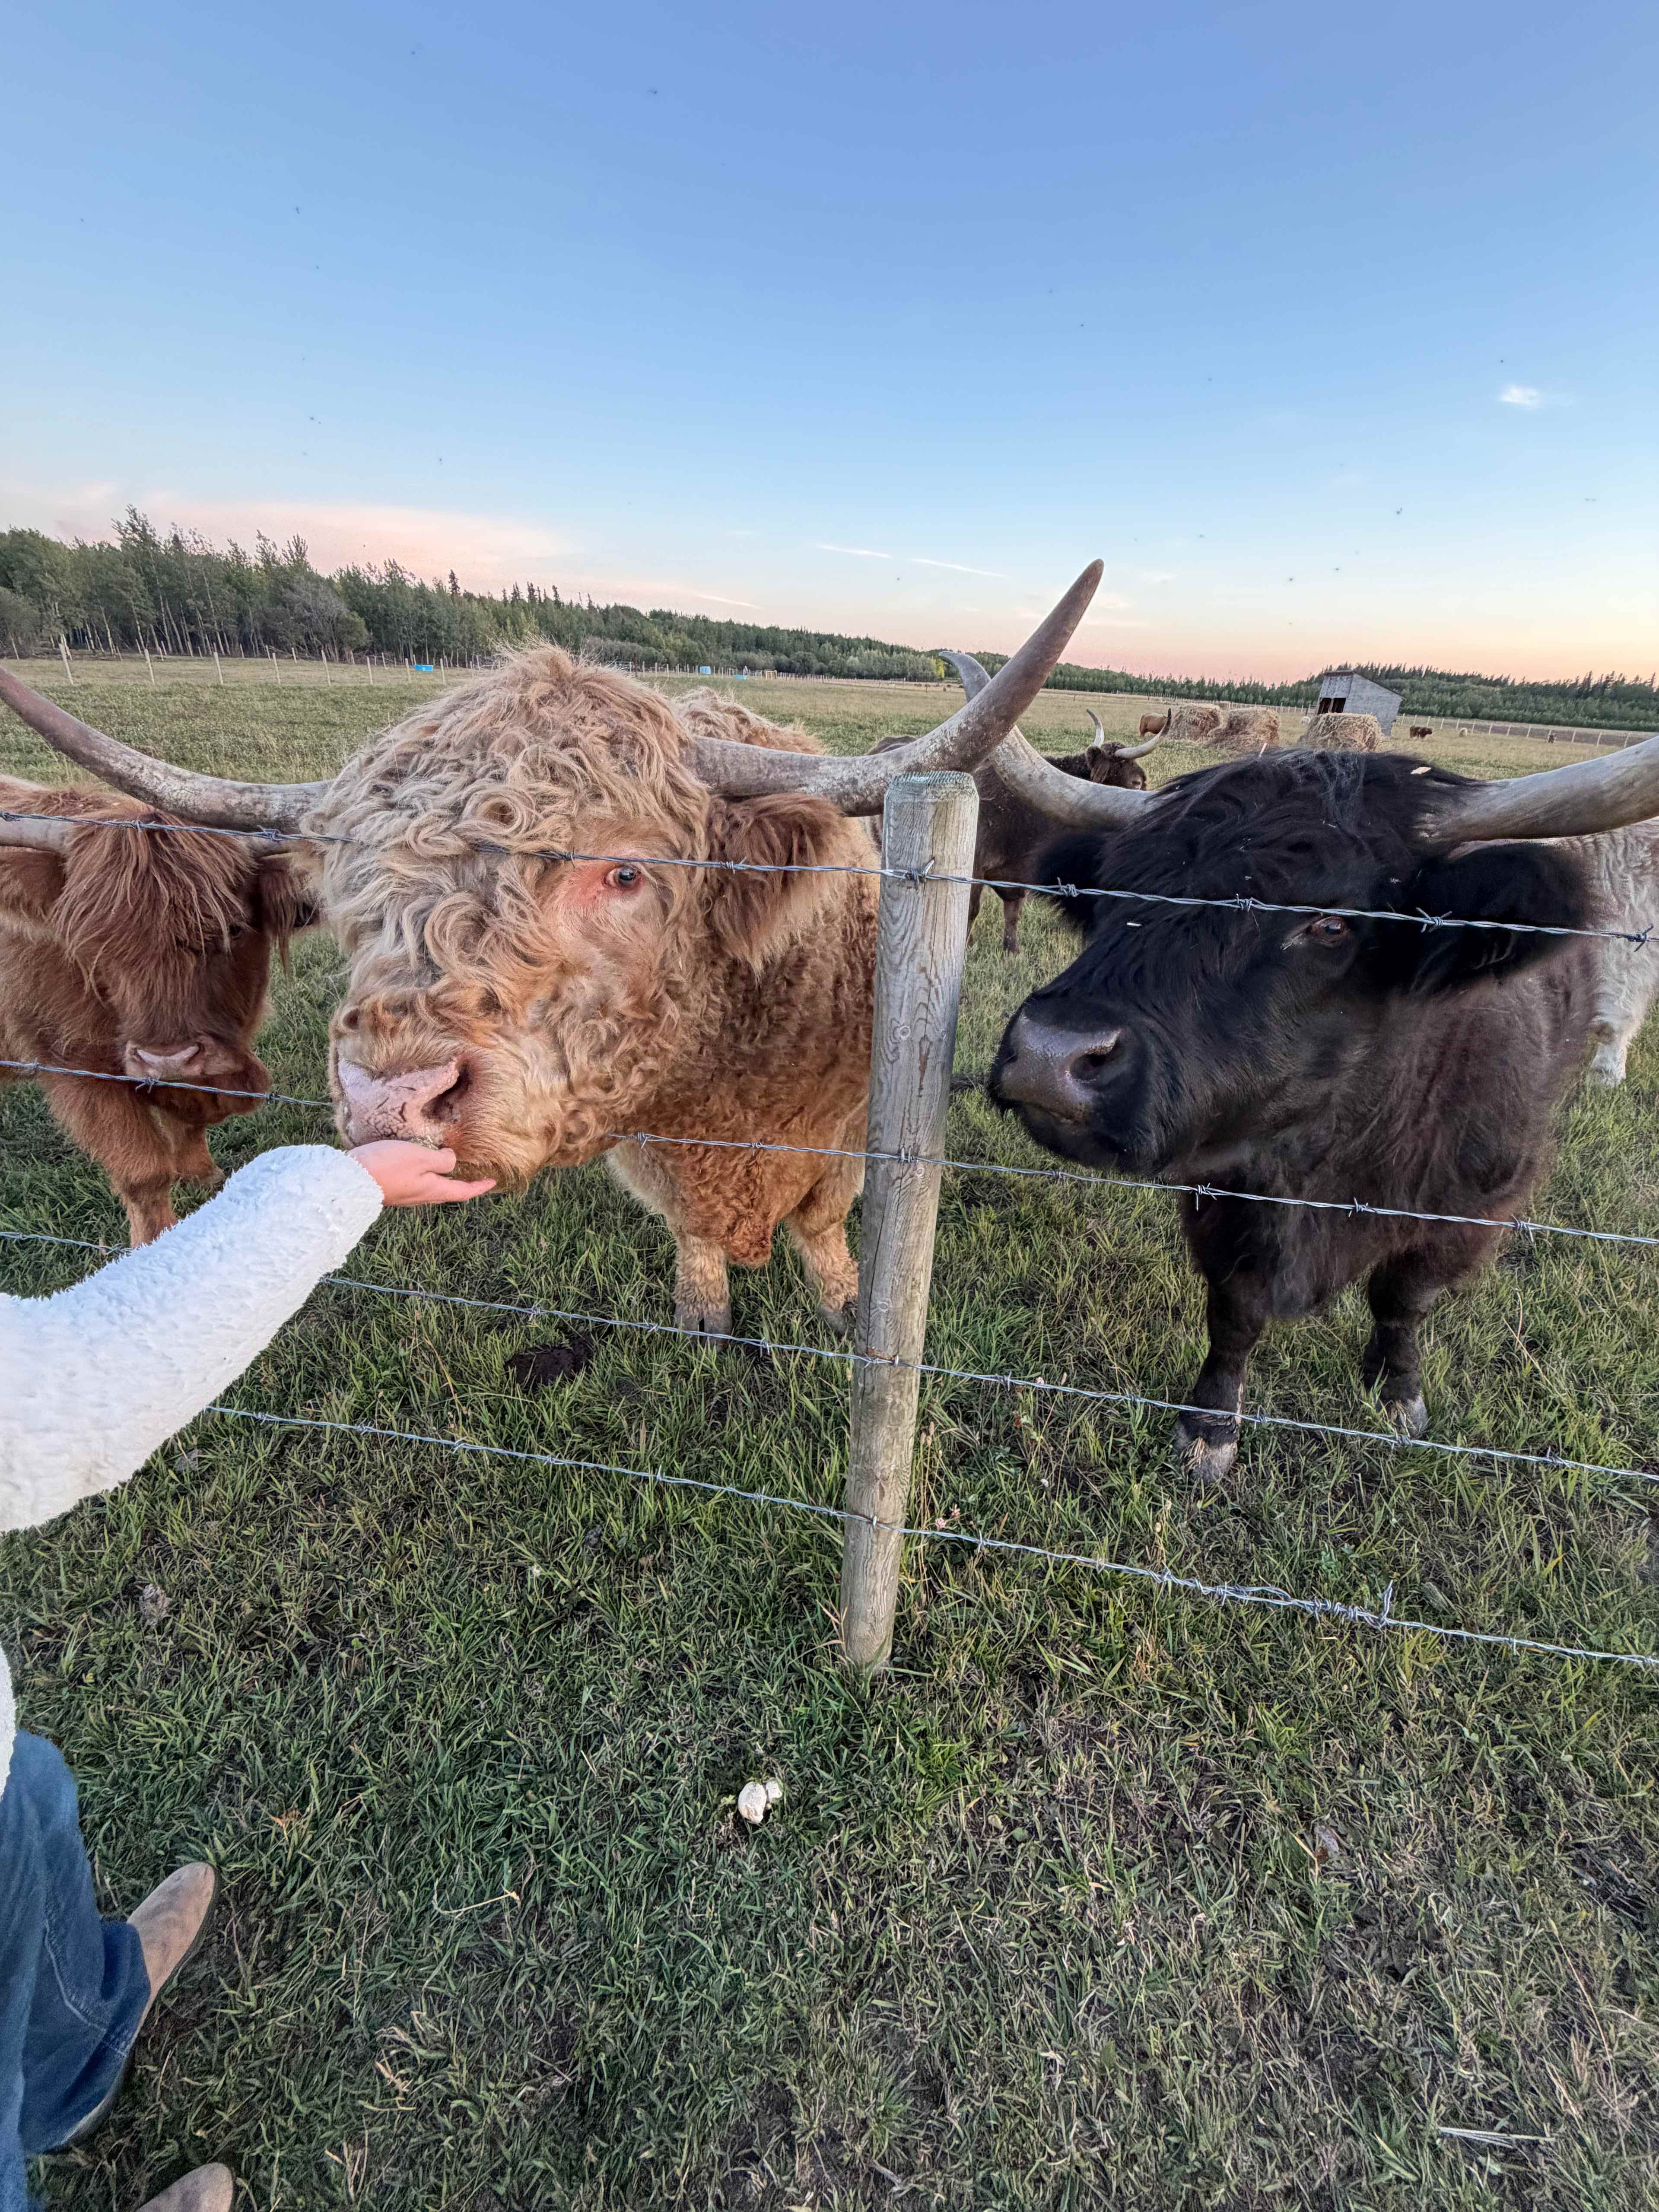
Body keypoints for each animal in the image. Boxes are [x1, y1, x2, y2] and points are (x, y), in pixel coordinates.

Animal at [0, 777, 310, 1242]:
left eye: (233, 928)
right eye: (92, 943)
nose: (168, 1058)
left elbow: (192, 1119)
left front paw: (202, 1174)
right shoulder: (72, 1063)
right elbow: (143, 1173)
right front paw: (156, 1242)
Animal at [982, 738, 1659, 1481]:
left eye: (1330, 924)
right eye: (1114, 890)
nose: (1049, 1055)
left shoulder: (1470, 1210)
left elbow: (1403, 1299)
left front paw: (1398, 1393)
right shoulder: (1228, 1197)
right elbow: (1236, 1311)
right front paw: (1210, 1427)